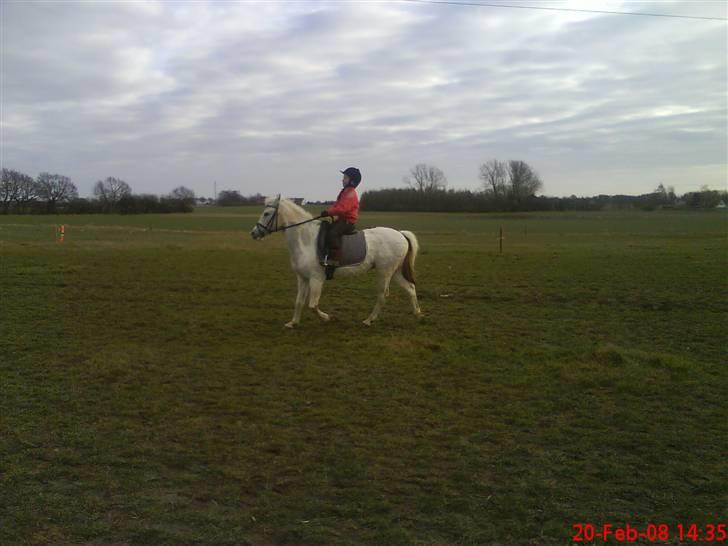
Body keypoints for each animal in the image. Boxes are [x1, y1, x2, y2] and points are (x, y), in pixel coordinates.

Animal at [250, 193, 420, 326]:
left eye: (266, 213)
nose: (254, 233)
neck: (306, 240)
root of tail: (400, 234)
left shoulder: (316, 279)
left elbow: (312, 305)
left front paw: (327, 318)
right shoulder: (302, 278)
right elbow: (299, 301)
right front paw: (293, 323)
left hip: (384, 272)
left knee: (383, 295)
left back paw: (368, 320)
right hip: (395, 272)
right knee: (410, 288)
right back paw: (418, 314)